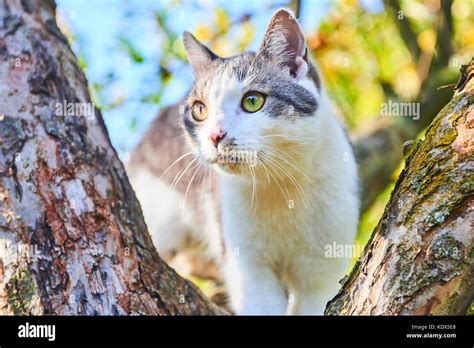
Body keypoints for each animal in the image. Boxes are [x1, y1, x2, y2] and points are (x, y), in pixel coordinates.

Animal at [128, 8, 358, 314]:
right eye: (199, 110)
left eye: (252, 101)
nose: (214, 135)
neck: (281, 186)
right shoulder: (248, 268)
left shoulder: (321, 272)